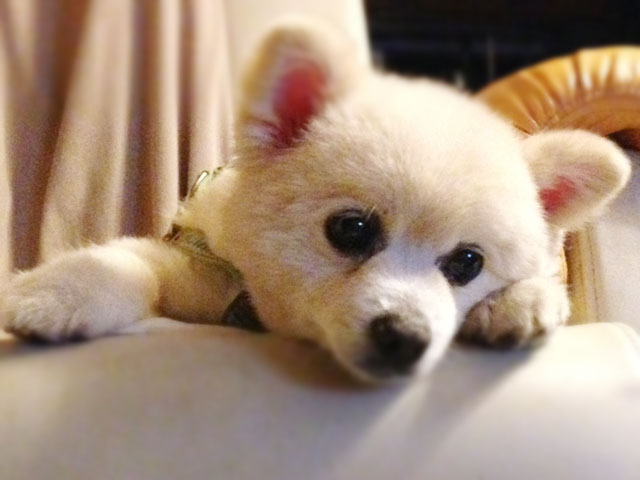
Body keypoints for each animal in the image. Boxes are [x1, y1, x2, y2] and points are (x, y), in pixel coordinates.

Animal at [0, 19, 630, 382]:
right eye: (351, 230)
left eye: (467, 263)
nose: (406, 337)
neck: (261, 318)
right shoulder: (201, 265)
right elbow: (127, 262)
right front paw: (55, 293)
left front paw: (522, 301)